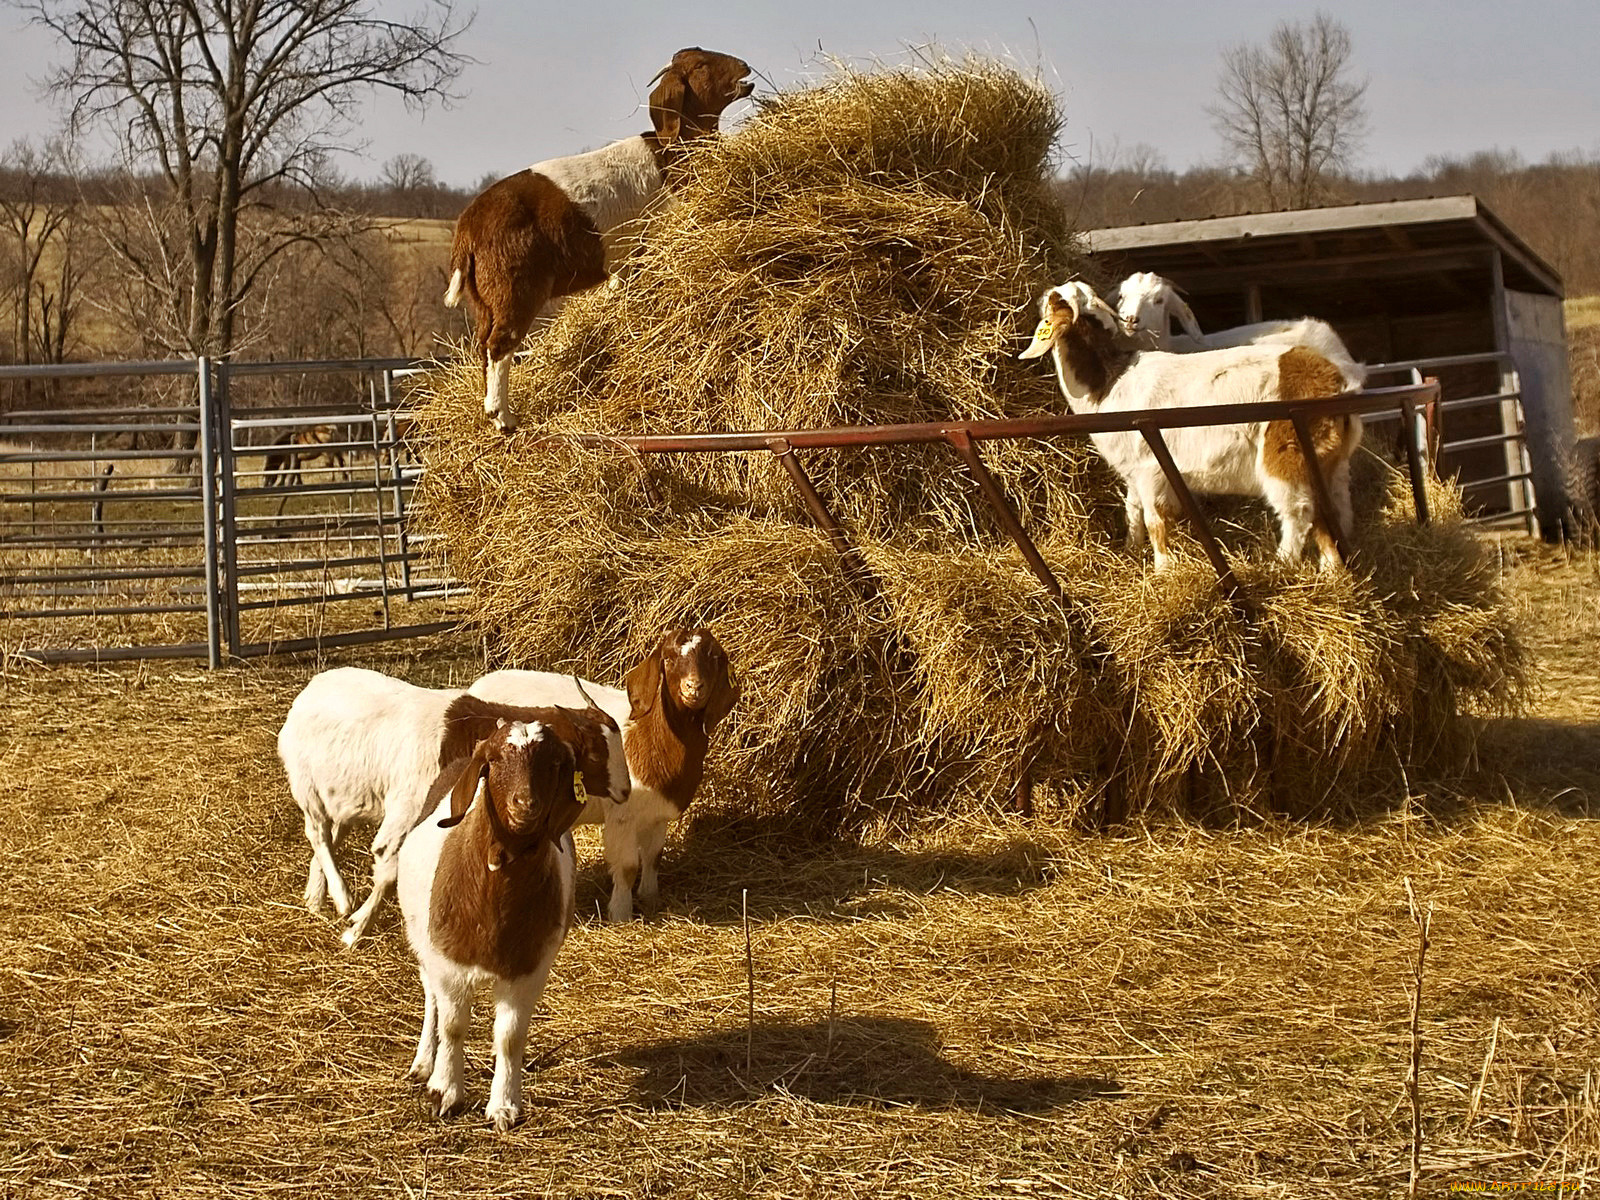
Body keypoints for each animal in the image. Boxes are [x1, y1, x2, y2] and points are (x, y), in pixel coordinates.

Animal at [275, 668, 624, 947]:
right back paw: (342, 898)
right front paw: (356, 928)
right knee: (318, 834)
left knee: (330, 838)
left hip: (346, 797)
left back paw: (316, 897)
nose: (624, 790)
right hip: (307, 787)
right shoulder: (407, 813)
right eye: (595, 754)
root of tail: (311, 689)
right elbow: (388, 868)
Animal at [444, 47, 755, 432]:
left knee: (482, 347)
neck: (672, 152)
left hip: (483, 299)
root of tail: (467, 231)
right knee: (500, 343)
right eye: (699, 66)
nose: (744, 67)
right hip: (514, 288)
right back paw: (504, 417)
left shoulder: (624, 267)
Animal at [464, 624, 736, 928]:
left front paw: (651, 898)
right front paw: (621, 913)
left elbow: (653, 857)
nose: (694, 687)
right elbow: (628, 866)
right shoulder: (623, 815)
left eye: (714, 656)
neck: (645, 735)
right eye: (668, 659)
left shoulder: (657, 814)